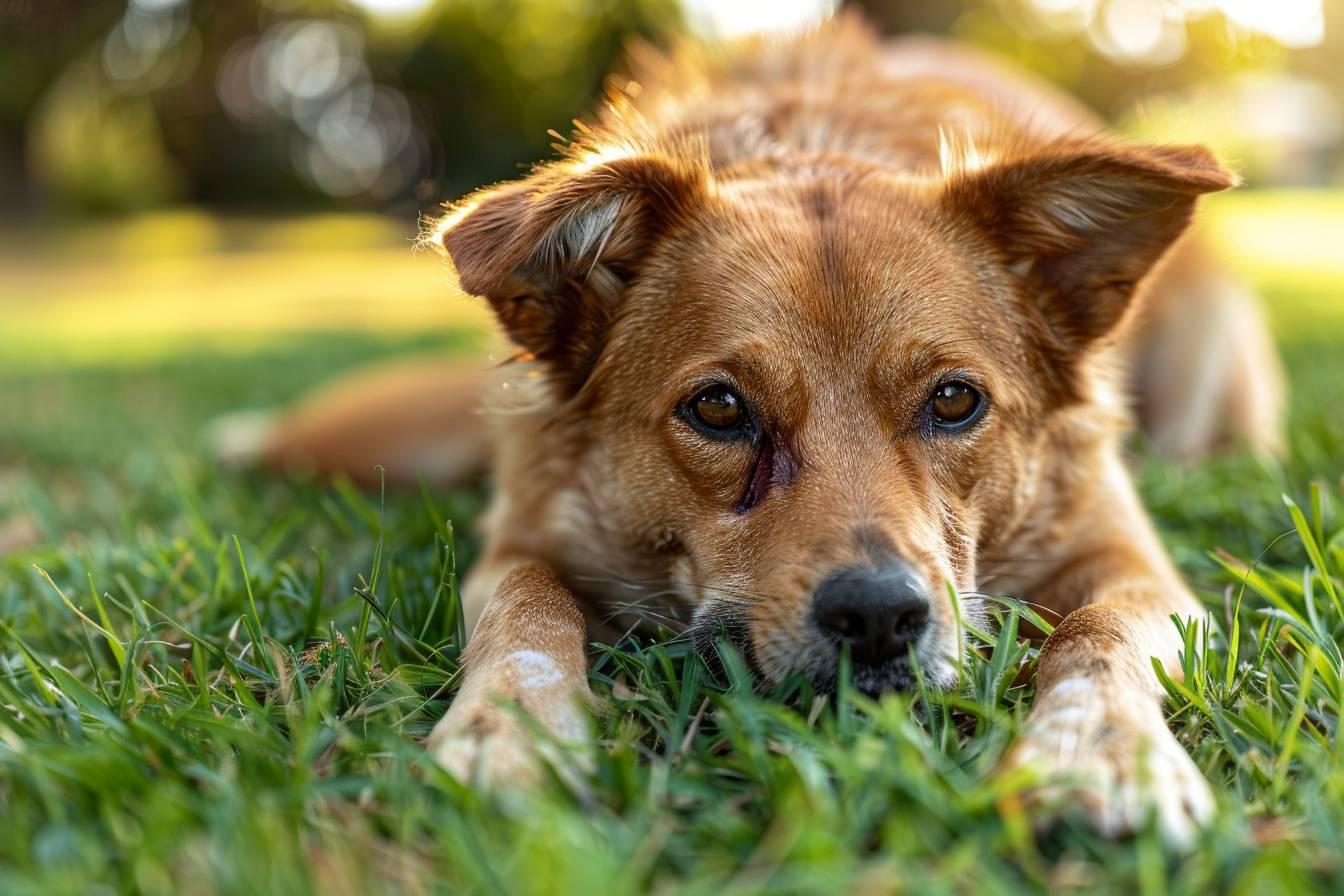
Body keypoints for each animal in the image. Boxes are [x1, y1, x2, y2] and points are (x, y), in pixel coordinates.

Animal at [236, 15, 1284, 848]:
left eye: (955, 402)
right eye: (720, 409)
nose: (879, 619)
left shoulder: (1137, 567)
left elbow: (1096, 635)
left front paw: (1101, 752)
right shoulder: (522, 541)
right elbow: (527, 616)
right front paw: (509, 733)